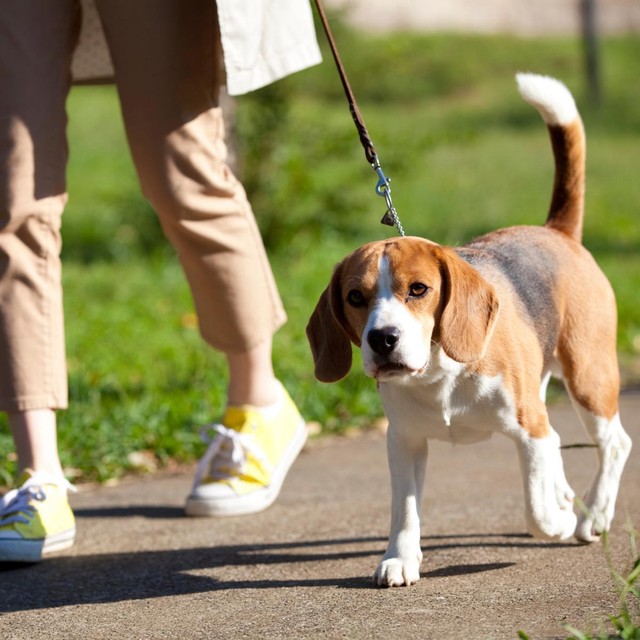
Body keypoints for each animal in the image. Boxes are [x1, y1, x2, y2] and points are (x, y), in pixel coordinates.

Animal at [308, 72, 632, 588]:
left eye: (418, 289)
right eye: (355, 298)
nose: (383, 339)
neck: (439, 373)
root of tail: (555, 231)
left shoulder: (527, 429)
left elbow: (537, 511)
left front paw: (559, 520)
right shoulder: (404, 442)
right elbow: (405, 511)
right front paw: (399, 558)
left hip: (588, 376)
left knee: (614, 443)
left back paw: (592, 516)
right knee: (563, 445)